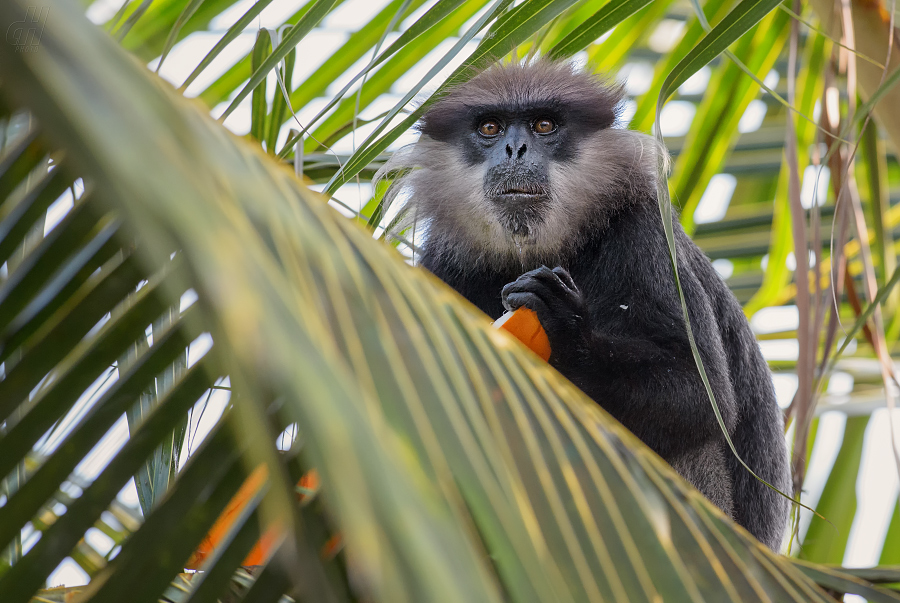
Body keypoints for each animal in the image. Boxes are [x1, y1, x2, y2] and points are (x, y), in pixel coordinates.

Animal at [376, 61, 792, 552]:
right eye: (490, 128)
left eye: (544, 125)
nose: (515, 149)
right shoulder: (444, 263)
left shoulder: (644, 233)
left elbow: (700, 397)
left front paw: (567, 334)